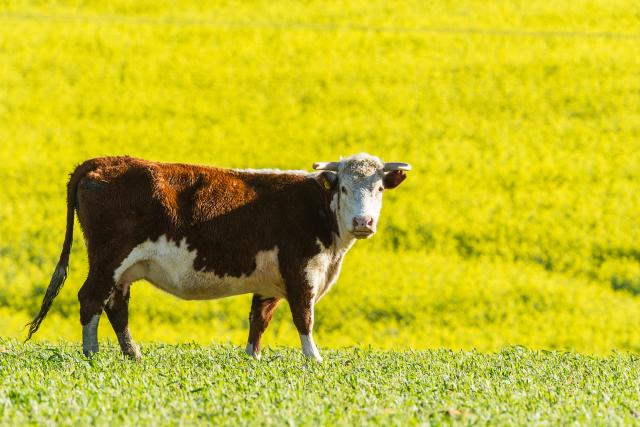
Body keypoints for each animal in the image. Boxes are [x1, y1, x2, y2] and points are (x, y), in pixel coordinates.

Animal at [25, 153, 411, 362]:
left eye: (378, 188)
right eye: (344, 187)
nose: (363, 222)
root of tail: (102, 162)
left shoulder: (269, 280)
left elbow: (259, 320)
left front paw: (252, 358)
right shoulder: (301, 270)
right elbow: (304, 318)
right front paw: (314, 359)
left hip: (123, 268)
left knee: (116, 305)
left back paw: (133, 355)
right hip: (108, 257)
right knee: (90, 298)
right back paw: (92, 355)